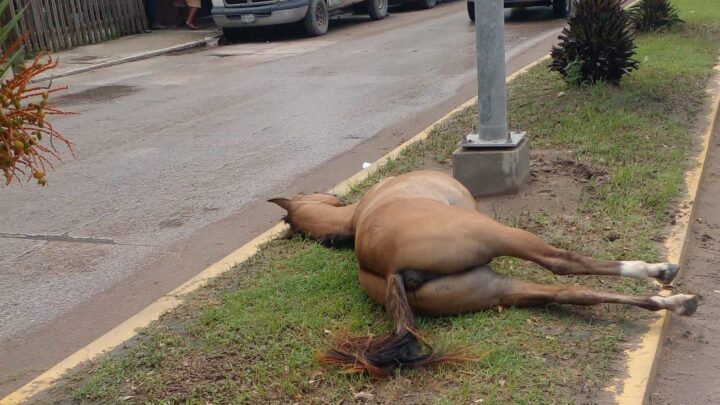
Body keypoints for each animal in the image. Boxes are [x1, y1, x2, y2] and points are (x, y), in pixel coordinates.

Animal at [269, 170, 698, 378]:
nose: (333, 193)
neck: (356, 218)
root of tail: (391, 271)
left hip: (496, 287)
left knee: (573, 293)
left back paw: (678, 302)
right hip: (503, 238)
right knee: (566, 264)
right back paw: (663, 274)